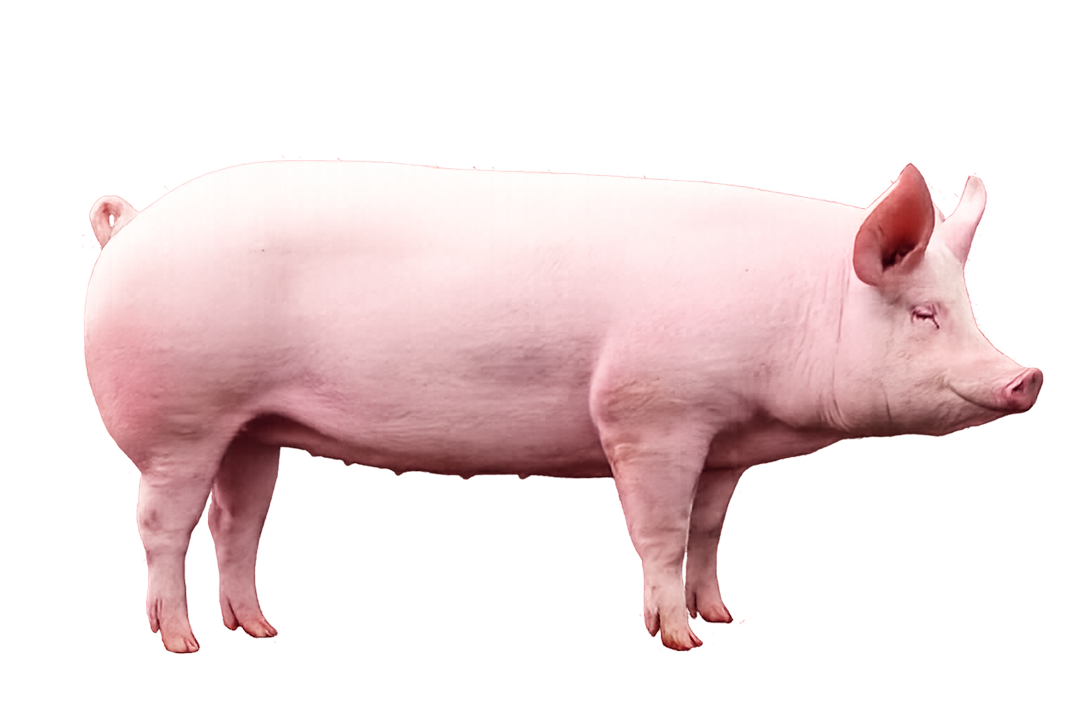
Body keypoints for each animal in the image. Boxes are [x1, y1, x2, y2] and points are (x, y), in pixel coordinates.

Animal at [83, 161, 1042, 654]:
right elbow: (661, 531)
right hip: (179, 416)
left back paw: (261, 628)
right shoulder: (649, 411)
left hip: (254, 429)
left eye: (960, 306)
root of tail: (130, 222)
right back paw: (180, 644)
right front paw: (678, 641)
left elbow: (707, 531)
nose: (1028, 378)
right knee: (162, 526)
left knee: (236, 522)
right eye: (924, 313)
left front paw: (723, 618)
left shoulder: (722, 439)